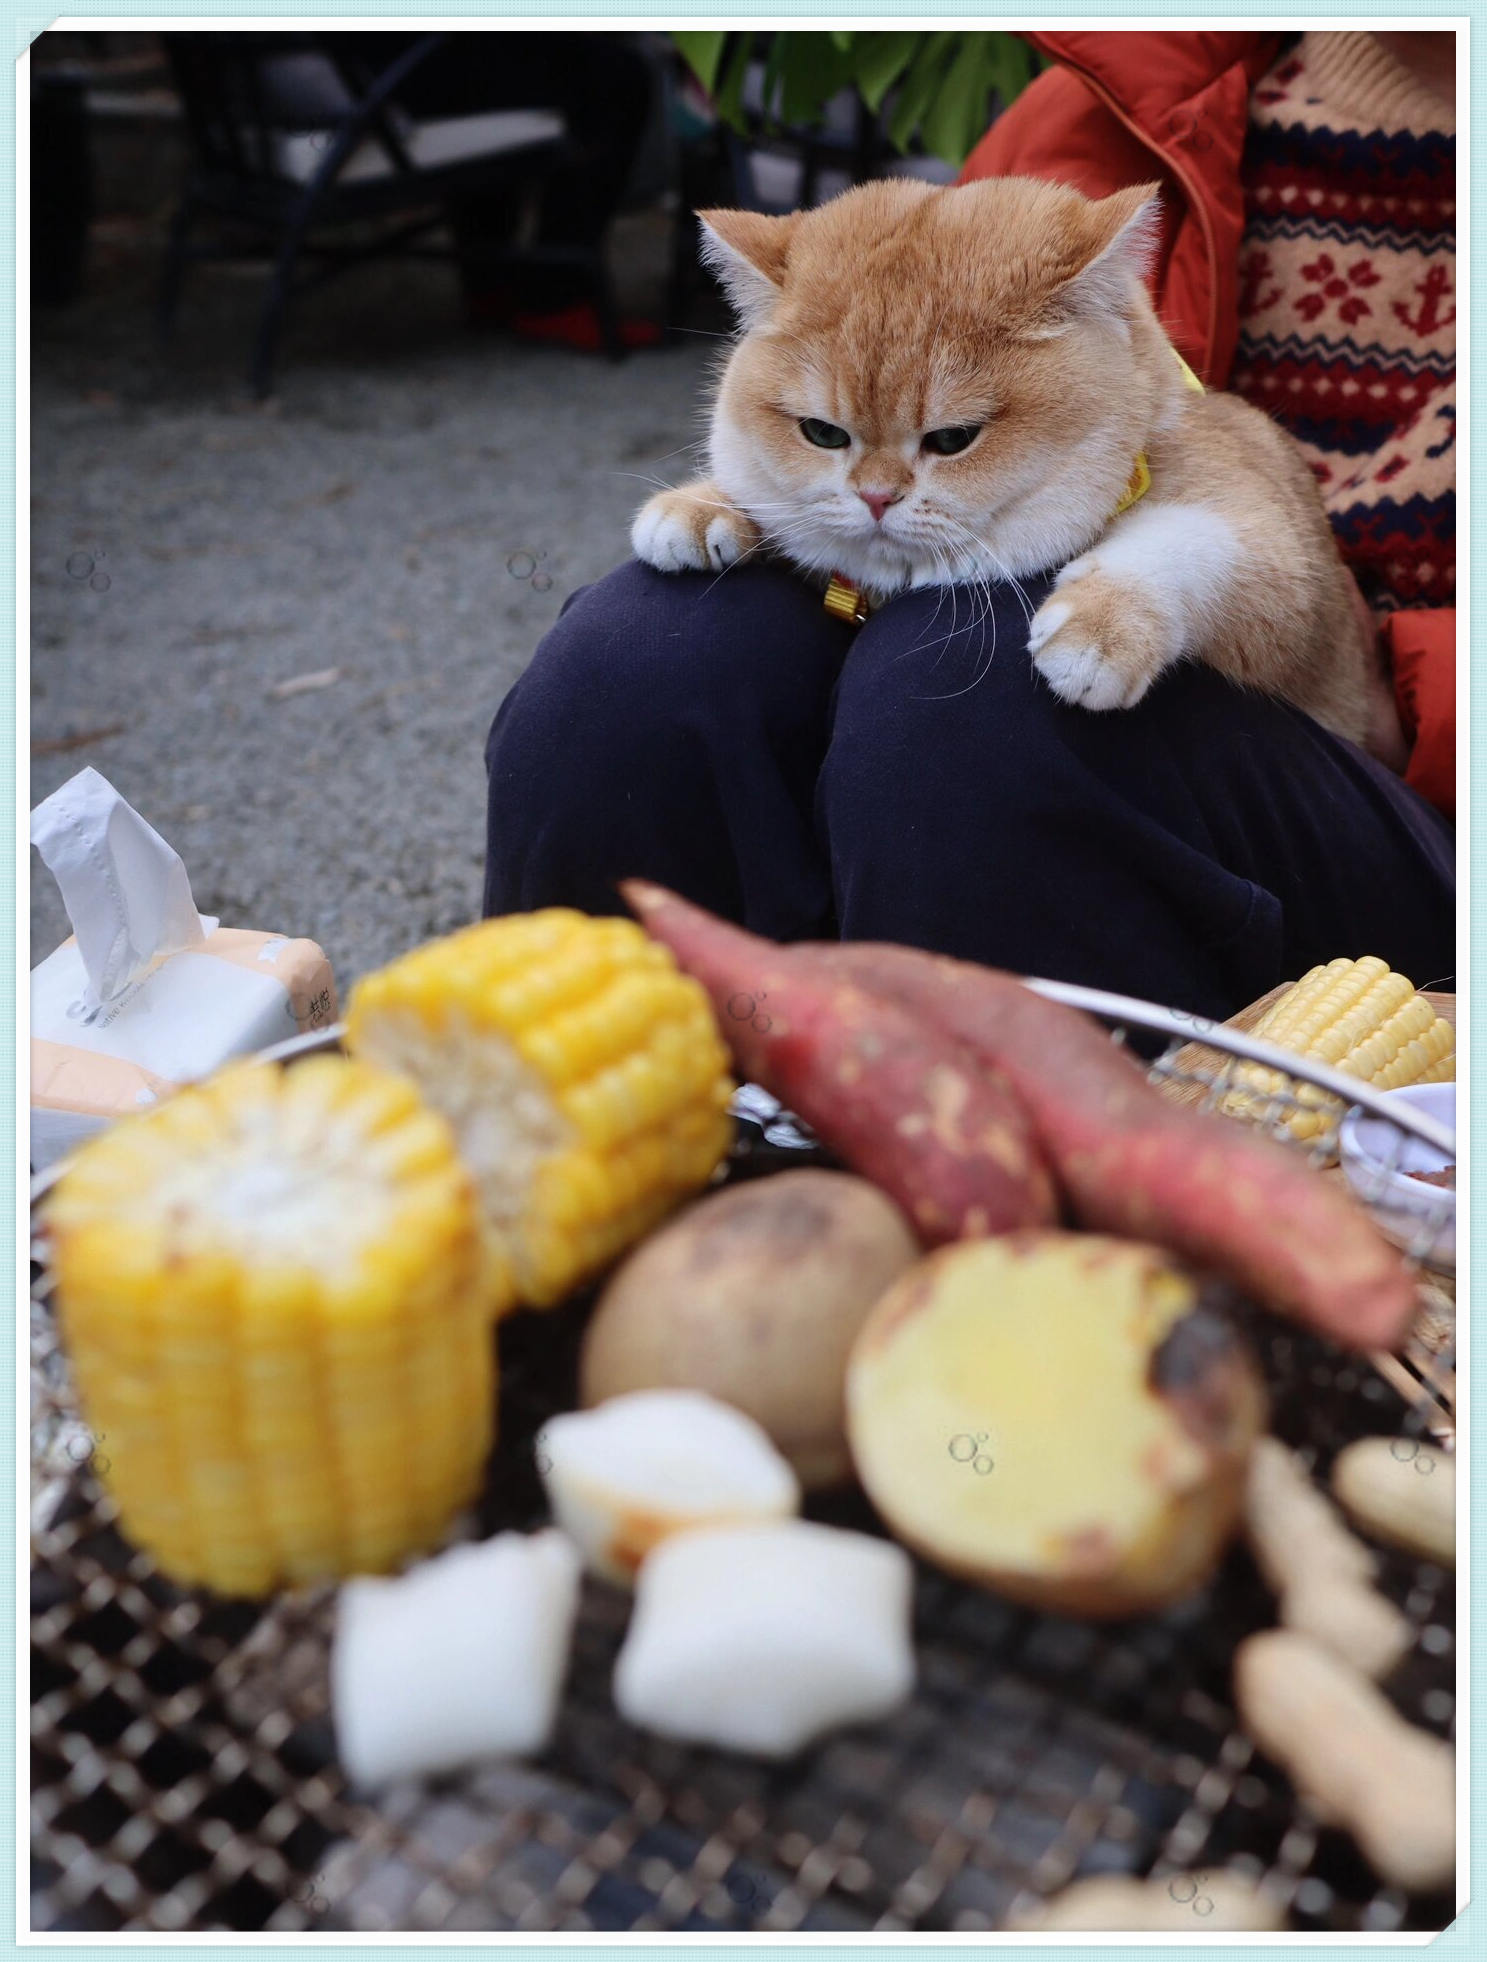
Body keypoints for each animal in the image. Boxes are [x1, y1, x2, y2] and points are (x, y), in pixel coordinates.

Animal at [635, 174, 1381, 741]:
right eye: (822, 433)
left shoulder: (1290, 573)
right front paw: (700, 506)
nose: (875, 497)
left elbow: (1196, 539)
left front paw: (1100, 622)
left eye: (951, 440)